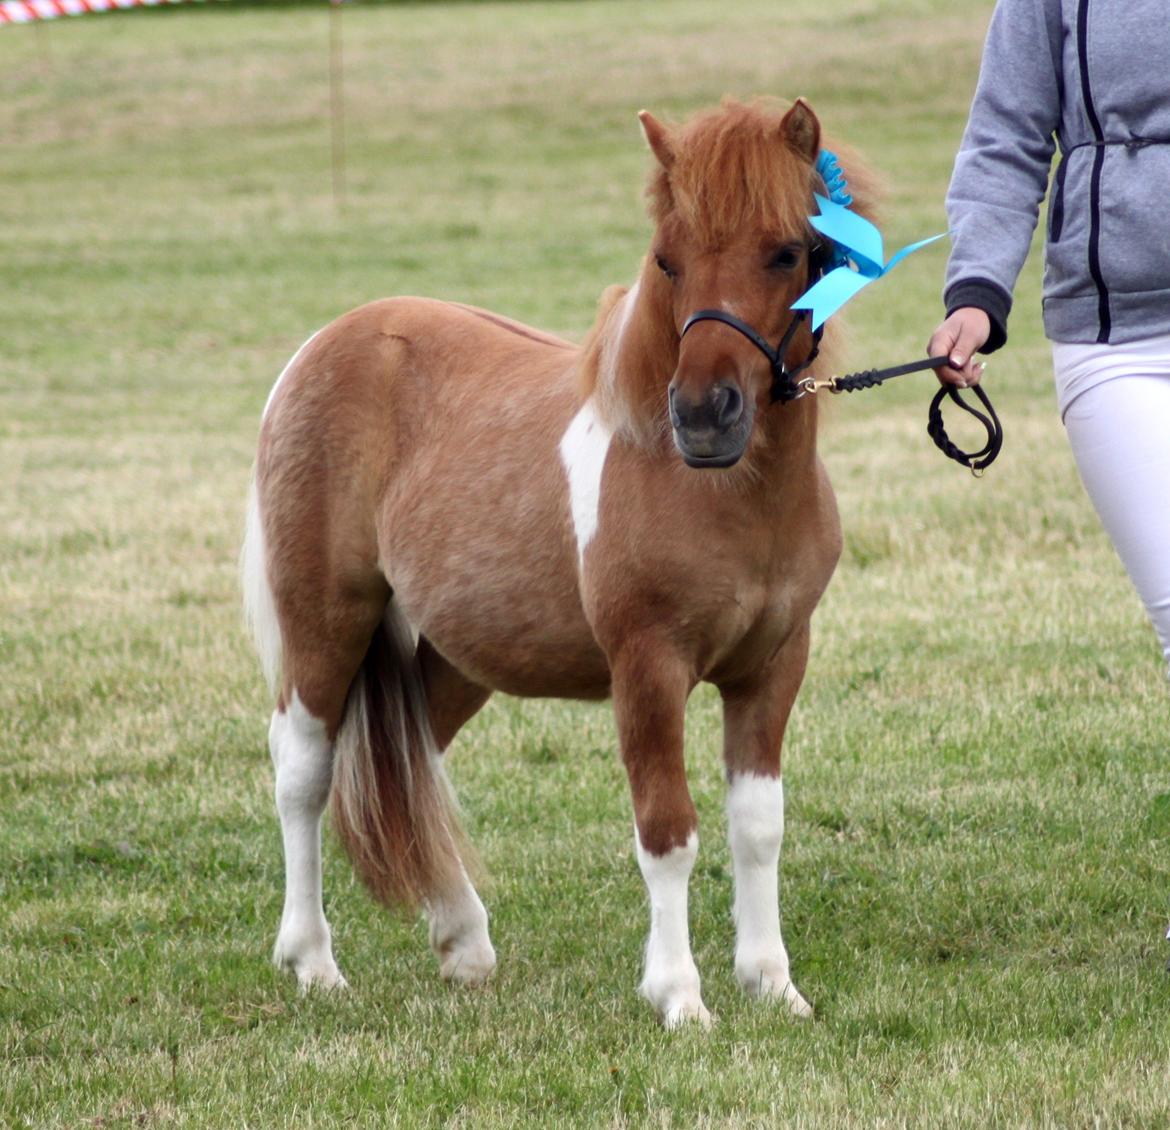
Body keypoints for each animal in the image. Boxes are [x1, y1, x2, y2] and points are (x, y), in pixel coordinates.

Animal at [242, 101, 875, 1029]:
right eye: (667, 259)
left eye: (788, 252)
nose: (703, 416)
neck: (729, 495)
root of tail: (323, 346)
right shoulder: (648, 668)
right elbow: (668, 831)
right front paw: (680, 996)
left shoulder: (773, 665)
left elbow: (758, 826)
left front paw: (772, 984)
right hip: (325, 620)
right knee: (304, 770)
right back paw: (313, 962)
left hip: (460, 653)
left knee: (410, 758)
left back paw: (463, 941)